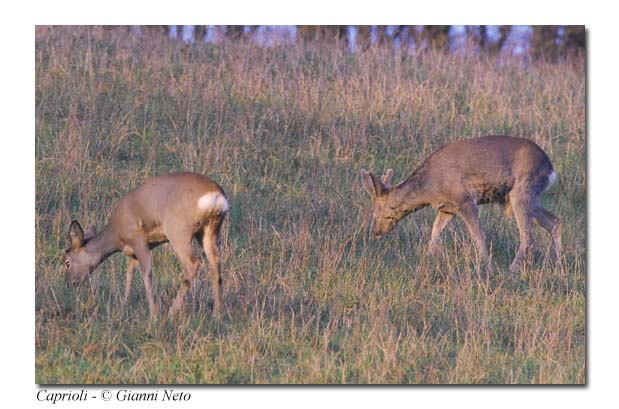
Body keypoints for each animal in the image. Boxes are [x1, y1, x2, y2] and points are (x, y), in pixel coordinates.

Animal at [63, 172, 230, 318]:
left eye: (67, 262)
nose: (69, 284)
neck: (116, 233)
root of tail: (216, 197)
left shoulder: (138, 238)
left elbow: (146, 272)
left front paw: (153, 313)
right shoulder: (144, 246)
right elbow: (130, 270)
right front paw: (124, 305)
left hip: (178, 231)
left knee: (192, 265)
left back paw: (171, 313)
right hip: (209, 231)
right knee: (215, 265)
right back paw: (216, 314)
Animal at [360, 135, 564, 272]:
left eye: (377, 211)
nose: (376, 231)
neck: (429, 188)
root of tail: (550, 169)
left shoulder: (465, 200)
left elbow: (477, 235)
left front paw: (486, 264)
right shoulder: (447, 208)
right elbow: (435, 230)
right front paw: (429, 256)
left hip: (521, 192)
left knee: (528, 236)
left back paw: (512, 270)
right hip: (524, 199)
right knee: (555, 221)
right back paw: (559, 265)